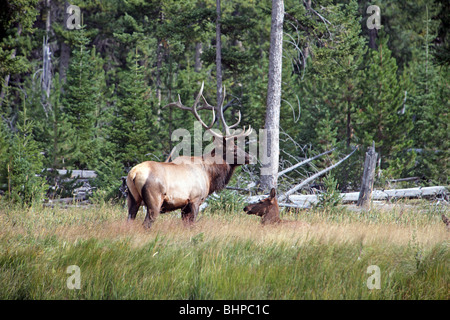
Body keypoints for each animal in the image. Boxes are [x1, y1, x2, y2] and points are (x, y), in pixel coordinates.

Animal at [126, 82, 253, 228]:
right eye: (233, 149)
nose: (251, 157)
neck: (209, 175)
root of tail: (134, 174)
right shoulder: (195, 199)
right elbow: (191, 225)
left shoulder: (184, 205)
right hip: (154, 199)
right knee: (147, 223)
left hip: (132, 199)